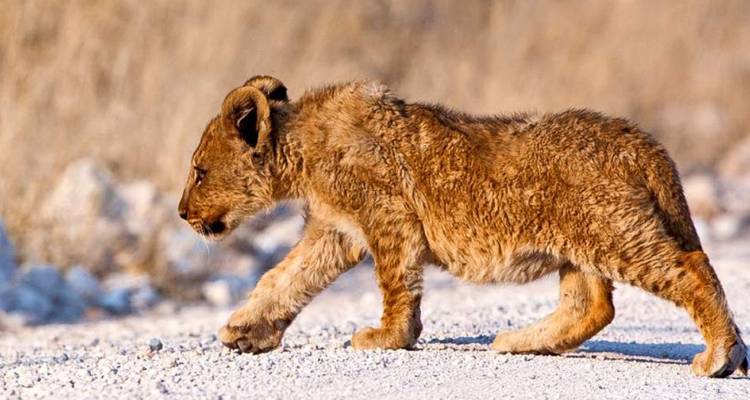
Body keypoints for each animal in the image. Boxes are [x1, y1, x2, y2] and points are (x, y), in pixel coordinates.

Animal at [178, 75, 748, 377]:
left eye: (199, 170)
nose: (181, 212)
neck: (300, 150)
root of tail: (640, 139)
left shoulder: (388, 217)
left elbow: (395, 285)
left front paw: (388, 337)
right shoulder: (333, 231)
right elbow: (284, 278)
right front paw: (245, 331)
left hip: (614, 232)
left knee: (691, 269)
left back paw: (718, 356)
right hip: (581, 244)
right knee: (591, 306)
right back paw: (520, 341)